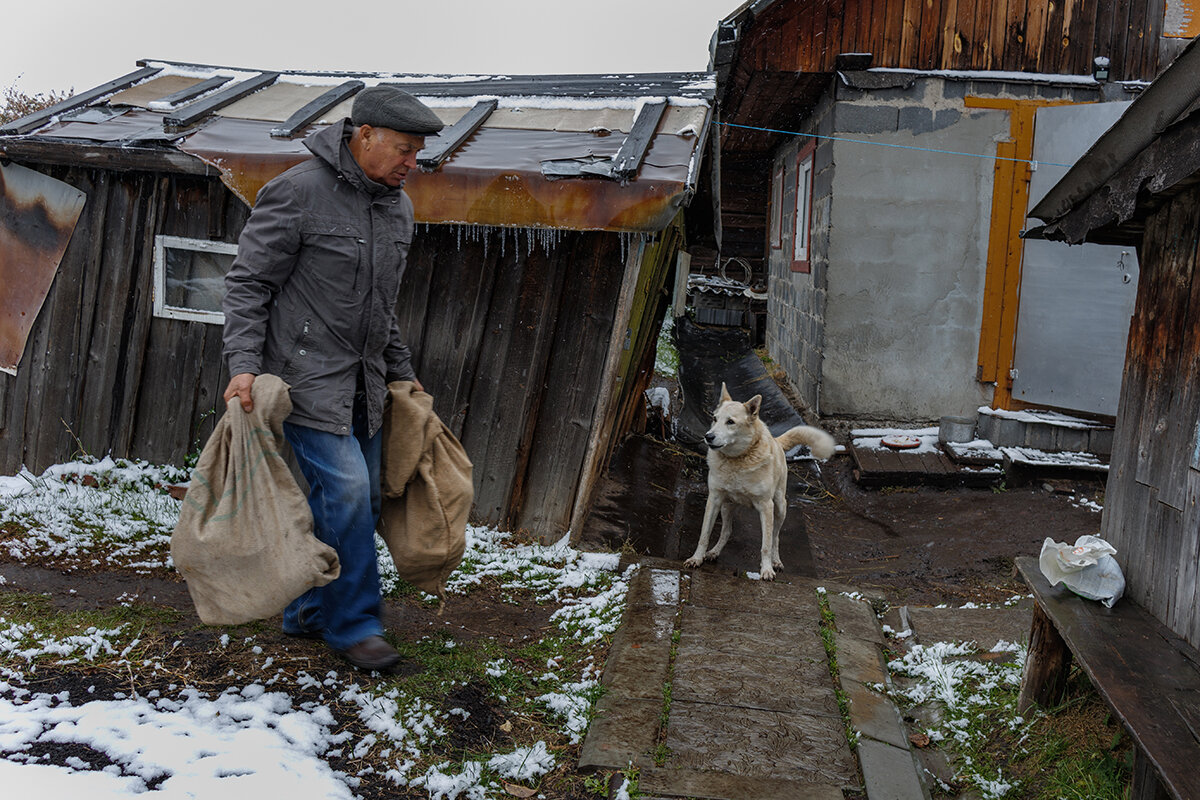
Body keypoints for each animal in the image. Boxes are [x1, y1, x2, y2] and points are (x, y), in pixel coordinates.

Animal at [686, 383, 835, 578]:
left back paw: (776, 561)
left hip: (780, 508)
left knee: (775, 537)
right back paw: (714, 552)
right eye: (714, 418)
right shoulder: (714, 499)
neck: (738, 460)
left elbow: (766, 544)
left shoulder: (766, 506)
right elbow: (704, 535)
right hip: (727, 506)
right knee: (727, 531)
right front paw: (697, 558)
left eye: (730, 422)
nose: (708, 436)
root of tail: (776, 441)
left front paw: (767, 569)